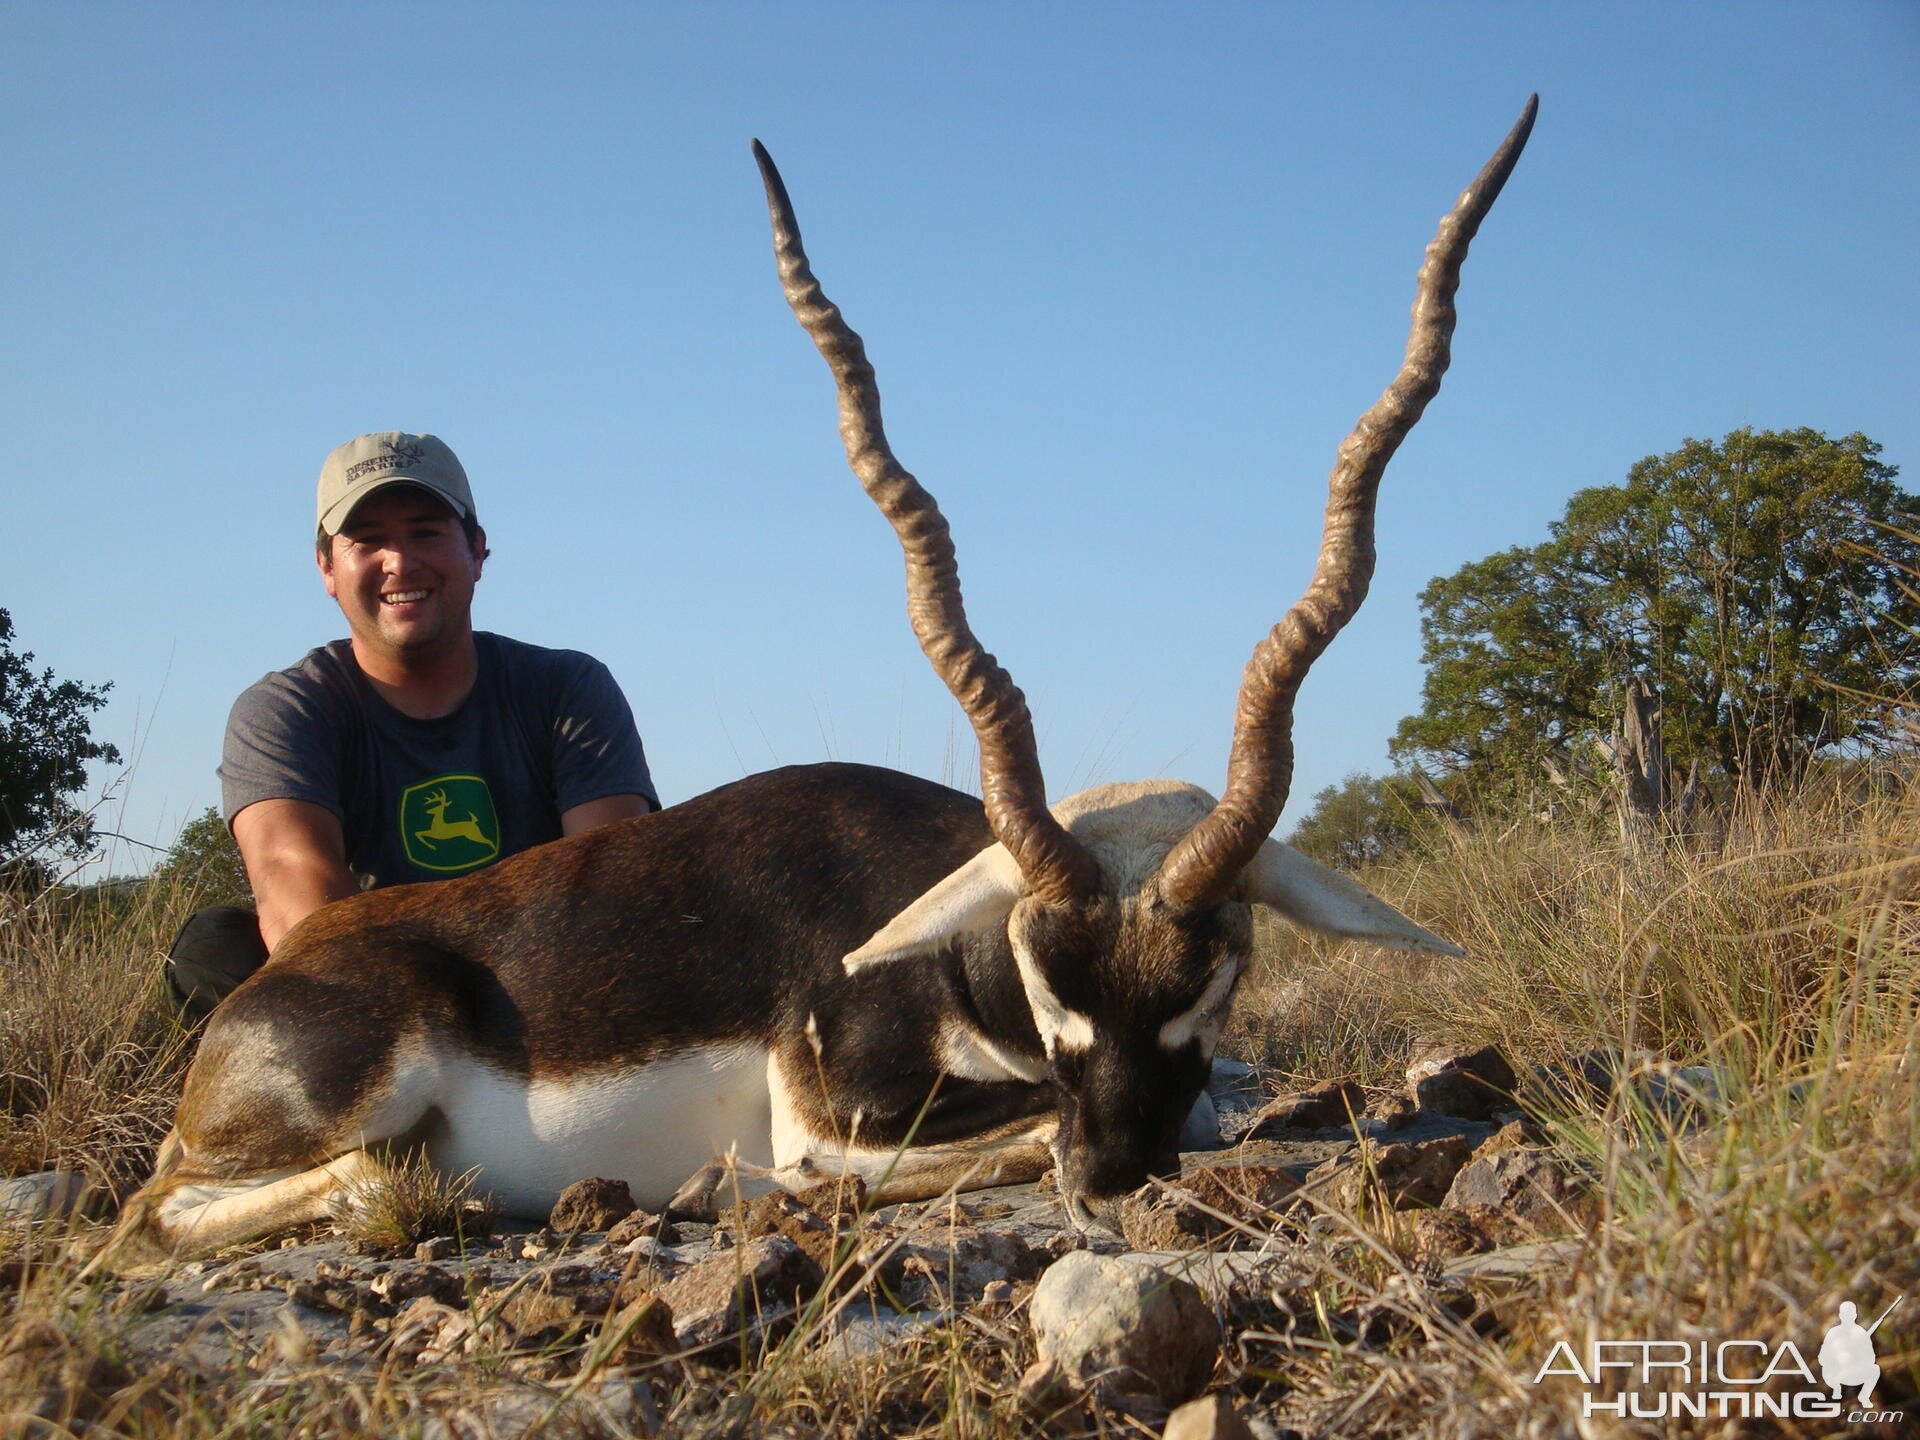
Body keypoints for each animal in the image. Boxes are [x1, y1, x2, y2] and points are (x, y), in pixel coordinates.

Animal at [97, 104, 1536, 1274]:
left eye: (1221, 966)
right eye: (1044, 973)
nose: (1117, 1171)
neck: (954, 961)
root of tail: (268, 994)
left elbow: (1223, 1092)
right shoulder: (828, 1123)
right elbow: (1015, 1132)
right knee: (187, 1207)